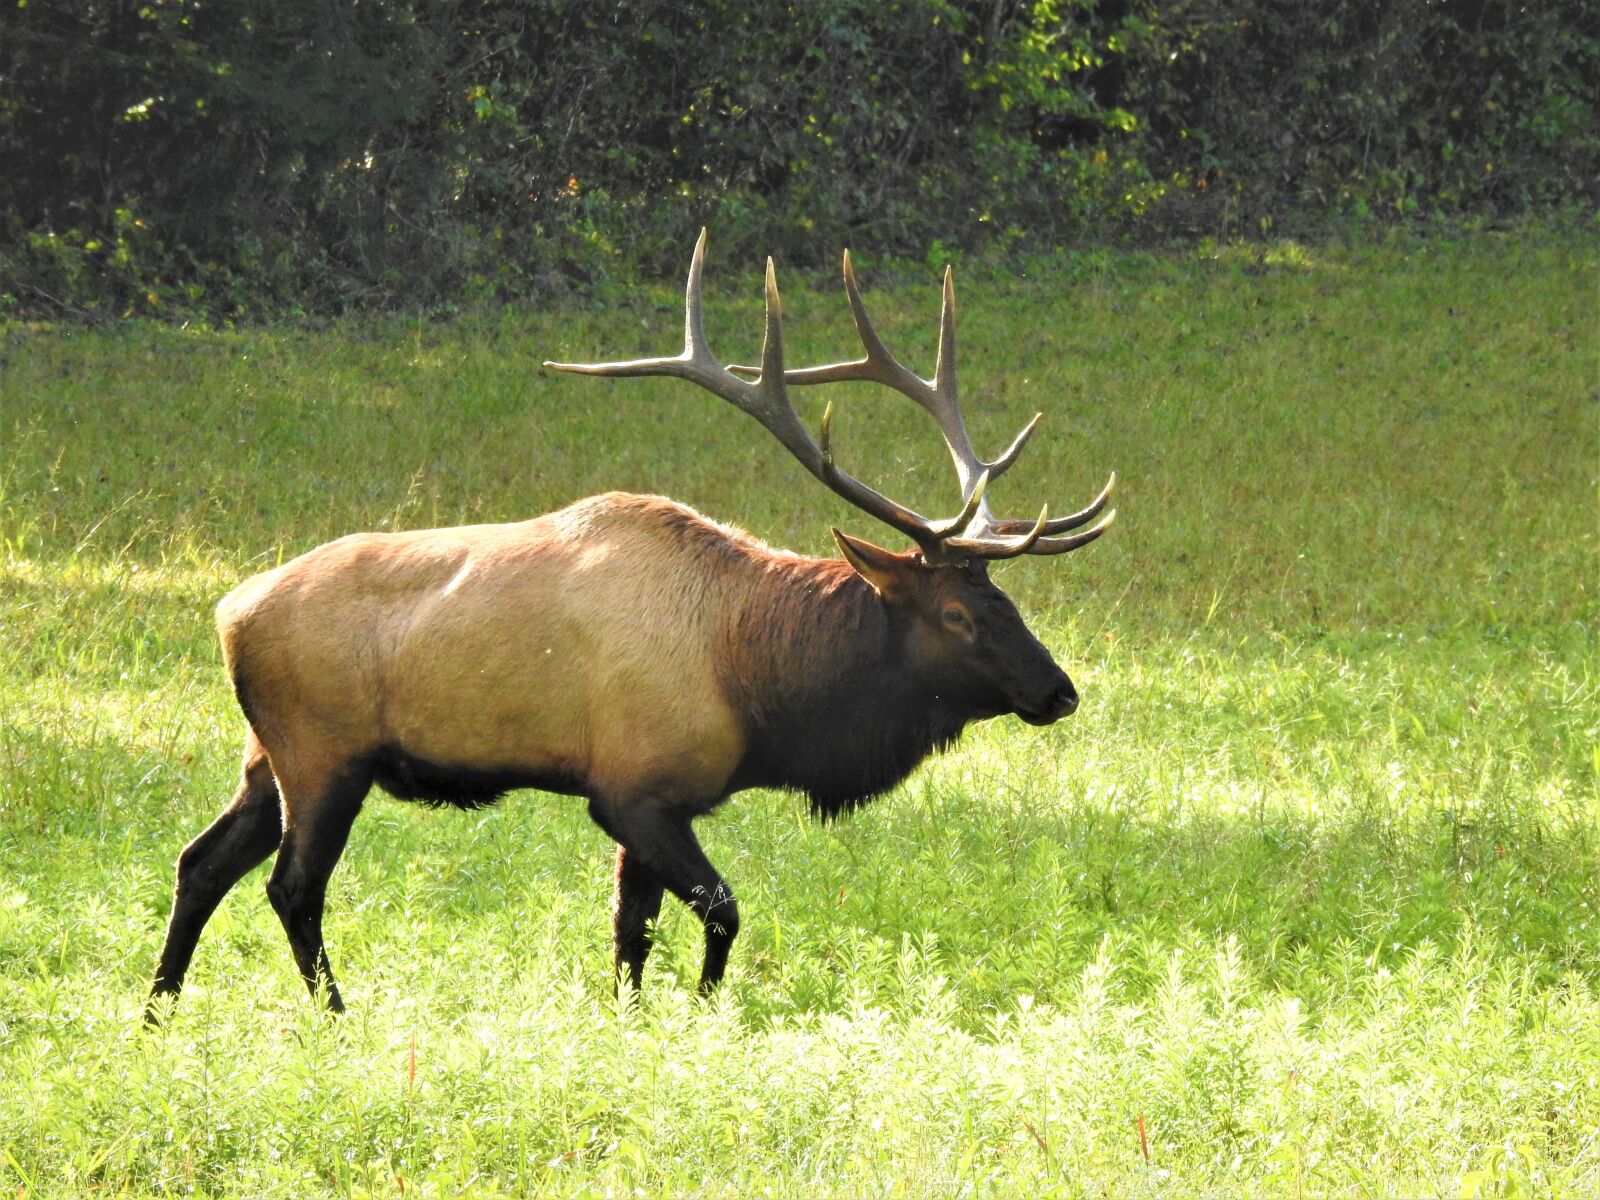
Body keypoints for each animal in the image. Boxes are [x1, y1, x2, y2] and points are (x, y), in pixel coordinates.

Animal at [145, 231, 1115, 1020]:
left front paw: (633, 1018)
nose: (1060, 692)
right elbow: (721, 911)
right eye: (957, 612)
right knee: (292, 887)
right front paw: (705, 1011)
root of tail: (230, 611)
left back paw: (156, 1010)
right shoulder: (634, 789)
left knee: (201, 861)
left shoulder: (657, 799)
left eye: (1008, 599)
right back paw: (337, 1015)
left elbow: (631, 929)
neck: (755, 683)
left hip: (264, 754)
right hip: (324, 751)